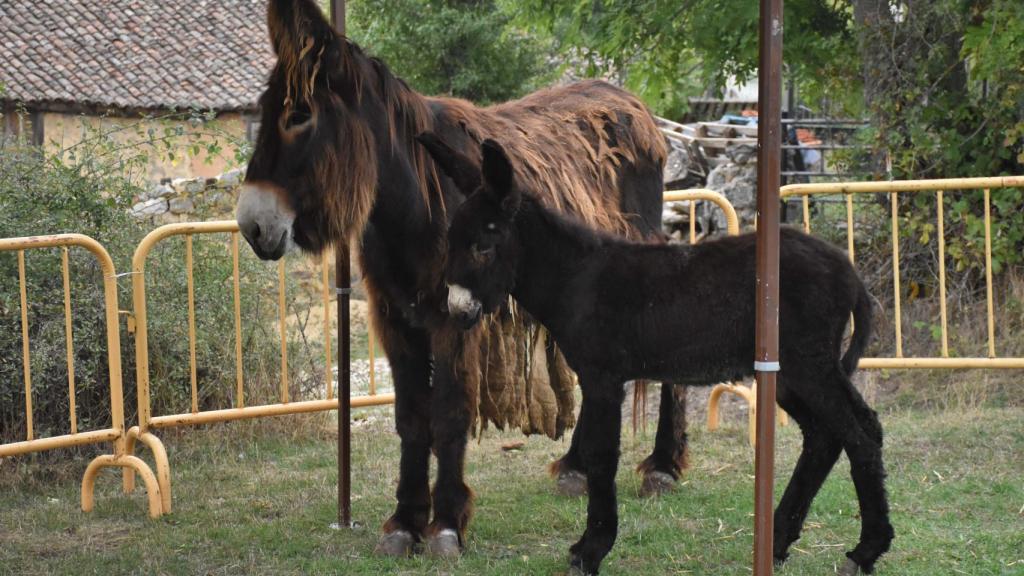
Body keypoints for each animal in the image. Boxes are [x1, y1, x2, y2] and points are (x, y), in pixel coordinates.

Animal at [419, 135, 892, 573]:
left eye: (482, 247)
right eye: (450, 244)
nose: (458, 312)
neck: (575, 277)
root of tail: (848, 270)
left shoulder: (603, 378)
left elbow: (601, 457)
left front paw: (590, 551)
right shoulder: (598, 377)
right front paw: (588, 546)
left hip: (808, 365)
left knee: (859, 433)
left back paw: (865, 551)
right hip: (790, 373)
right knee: (826, 436)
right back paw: (779, 542)